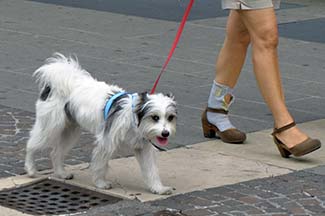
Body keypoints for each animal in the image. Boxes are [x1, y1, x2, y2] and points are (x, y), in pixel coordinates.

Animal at [24, 53, 176, 195]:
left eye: (170, 117)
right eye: (155, 117)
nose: (165, 133)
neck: (133, 119)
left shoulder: (143, 148)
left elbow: (151, 170)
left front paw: (158, 188)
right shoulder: (106, 142)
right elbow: (100, 165)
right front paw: (100, 183)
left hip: (70, 131)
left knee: (56, 153)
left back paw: (61, 173)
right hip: (49, 127)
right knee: (31, 145)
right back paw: (31, 169)